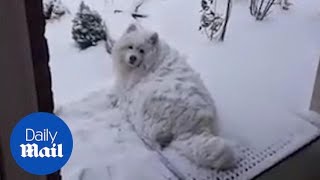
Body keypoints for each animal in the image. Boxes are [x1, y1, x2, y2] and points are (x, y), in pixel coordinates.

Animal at [110, 23, 235, 169]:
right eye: (130, 47)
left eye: (141, 51)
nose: (132, 58)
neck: (151, 62)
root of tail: (196, 127)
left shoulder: (130, 88)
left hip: (149, 98)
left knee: (151, 135)